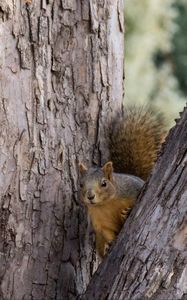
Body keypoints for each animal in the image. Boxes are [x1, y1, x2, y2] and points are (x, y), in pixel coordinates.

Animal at [78, 106, 165, 258]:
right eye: (81, 184)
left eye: (104, 183)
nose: (90, 196)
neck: (106, 204)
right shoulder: (99, 221)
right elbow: (107, 232)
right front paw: (109, 245)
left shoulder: (132, 189)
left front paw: (127, 213)